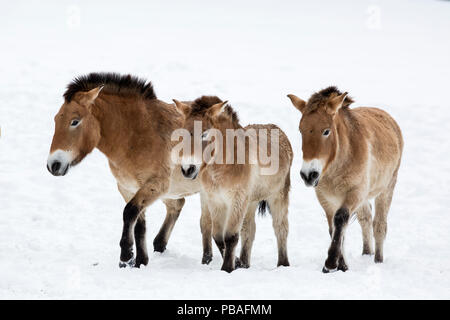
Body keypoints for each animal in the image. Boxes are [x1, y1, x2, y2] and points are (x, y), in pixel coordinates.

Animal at [46, 72, 200, 268]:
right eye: (56, 119)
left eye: (74, 121)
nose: (53, 165)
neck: (138, 135)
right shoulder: (128, 188)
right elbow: (139, 223)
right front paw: (140, 261)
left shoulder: (155, 185)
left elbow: (129, 213)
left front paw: (126, 256)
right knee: (177, 205)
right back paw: (160, 245)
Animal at [171, 97, 292, 272]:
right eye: (183, 133)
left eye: (204, 133)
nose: (188, 169)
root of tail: (279, 131)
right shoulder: (216, 201)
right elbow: (218, 236)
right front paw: (236, 263)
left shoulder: (237, 200)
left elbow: (231, 237)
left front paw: (227, 268)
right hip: (251, 201)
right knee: (249, 230)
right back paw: (245, 263)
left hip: (278, 196)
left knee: (280, 228)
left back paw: (283, 264)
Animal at [288, 86, 404, 272]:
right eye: (301, 130)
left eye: (326, 131)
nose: (308, 175)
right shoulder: (326, 199)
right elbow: (334, 228)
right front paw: (342, 265)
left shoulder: (355, 192)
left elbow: (340, 219)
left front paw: (330, 263)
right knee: (365, 218)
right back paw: (367, 253)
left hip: (386, 188)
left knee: (379, 225)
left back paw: (378, 259)